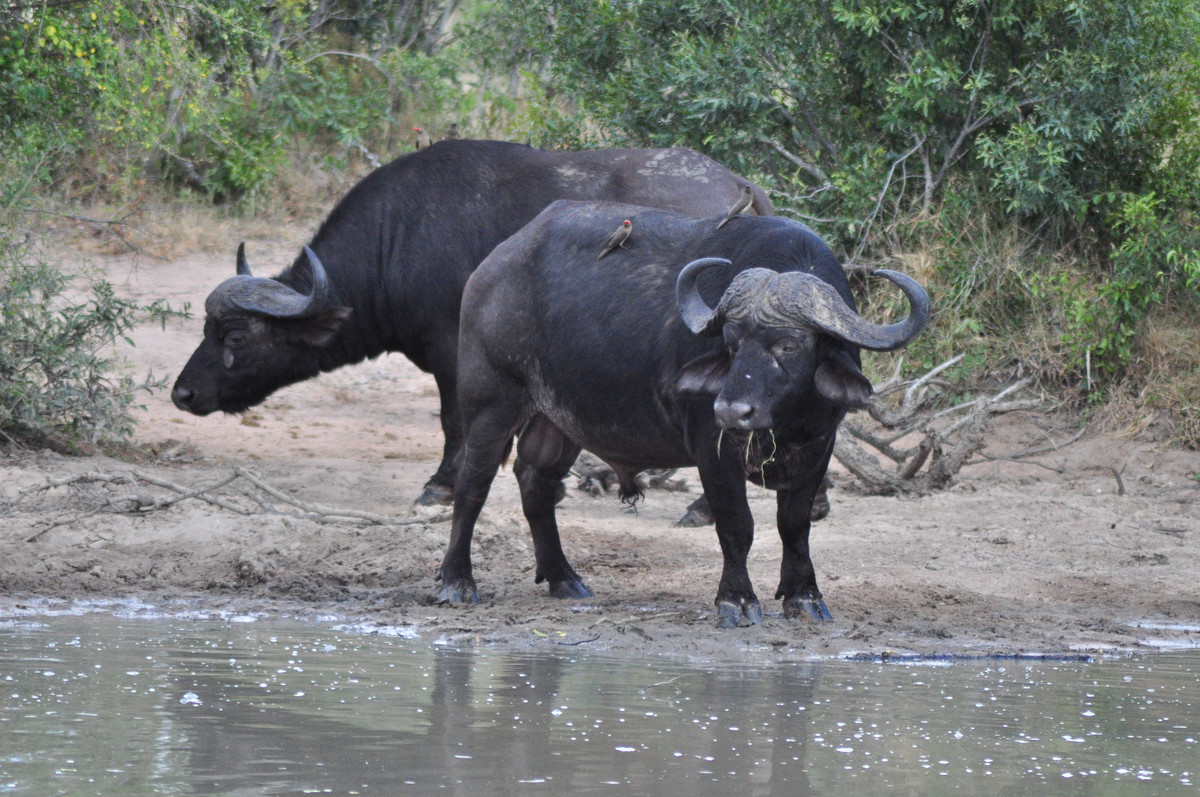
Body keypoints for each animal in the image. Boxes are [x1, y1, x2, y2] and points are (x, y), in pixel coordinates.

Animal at [171, 139, 772, 514]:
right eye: (206, 329)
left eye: (235, 336)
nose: (183, 393)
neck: (398, 236)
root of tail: (740, 185)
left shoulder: (451, 354)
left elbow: (452, 420)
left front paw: (439, 487)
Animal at [436, 201, 930, 628]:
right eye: (731, 343)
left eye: (789, 345)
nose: (731, 409)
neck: (784, 424)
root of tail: (491, 268)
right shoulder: (713, 452)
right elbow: (737, 525)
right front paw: (737, 600)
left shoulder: (819, 448)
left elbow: (795, 525)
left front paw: (804, 597)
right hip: (490, 402)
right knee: (473, 486)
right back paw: (456, 582)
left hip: (557, 423)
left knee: (535, 483)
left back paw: (564, 578)